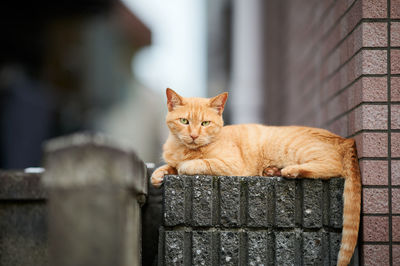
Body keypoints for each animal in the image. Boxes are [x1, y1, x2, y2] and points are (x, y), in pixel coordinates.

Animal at [151, 88, 362, 264]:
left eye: (205, 123)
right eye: (184, 121)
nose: (194, 135)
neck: (186, 150)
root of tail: (346, 140)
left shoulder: (232, 165)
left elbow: (198, 164)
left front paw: (184, 166)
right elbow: (169, 166)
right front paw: (158, 174)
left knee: (333, 167)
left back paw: (290, 170)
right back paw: (272, 171)